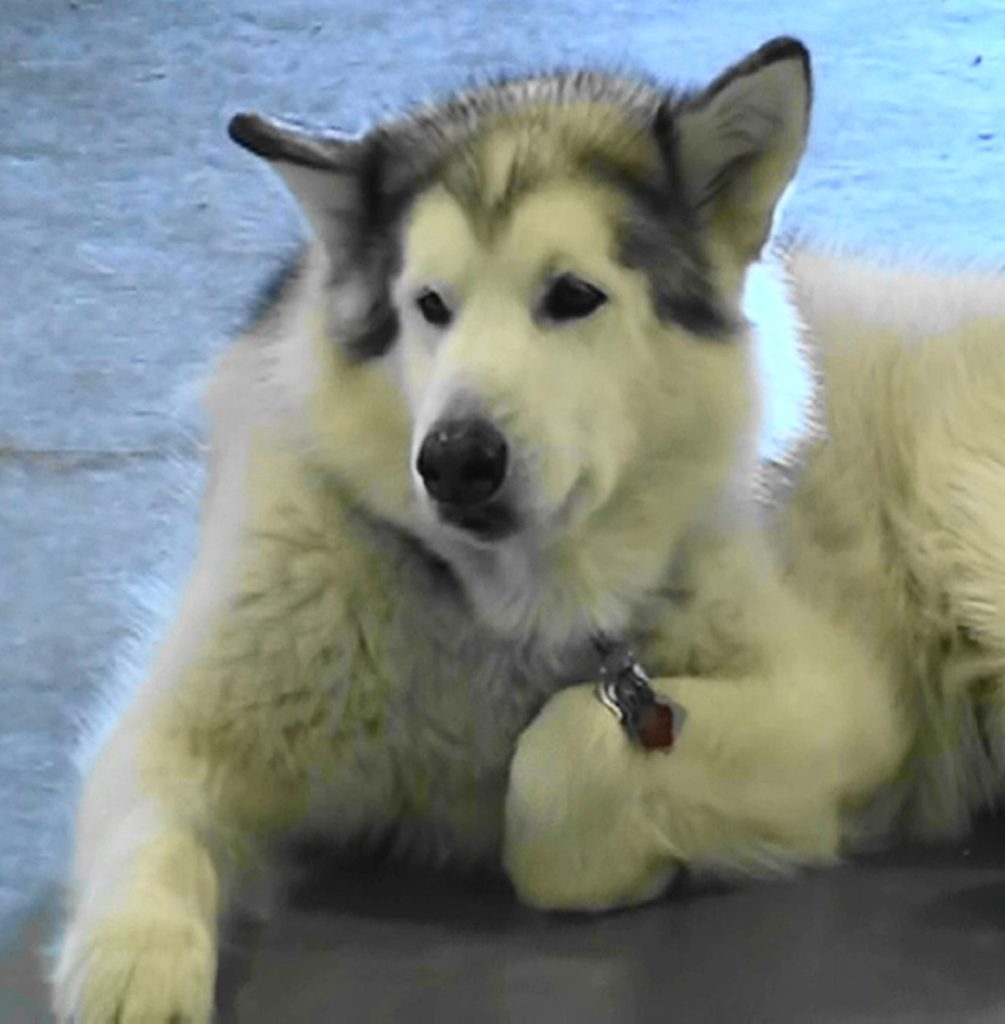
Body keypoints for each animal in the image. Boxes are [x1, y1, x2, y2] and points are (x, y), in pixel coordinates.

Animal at [50, 36, 1003, 1019]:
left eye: (573, 296)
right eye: (430, 305)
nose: (454, 459)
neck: (503, 613)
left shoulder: (842, 700)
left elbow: (558, 763)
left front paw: (634, 854)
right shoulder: (190, 711)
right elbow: (150, 822)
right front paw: (137, 972)